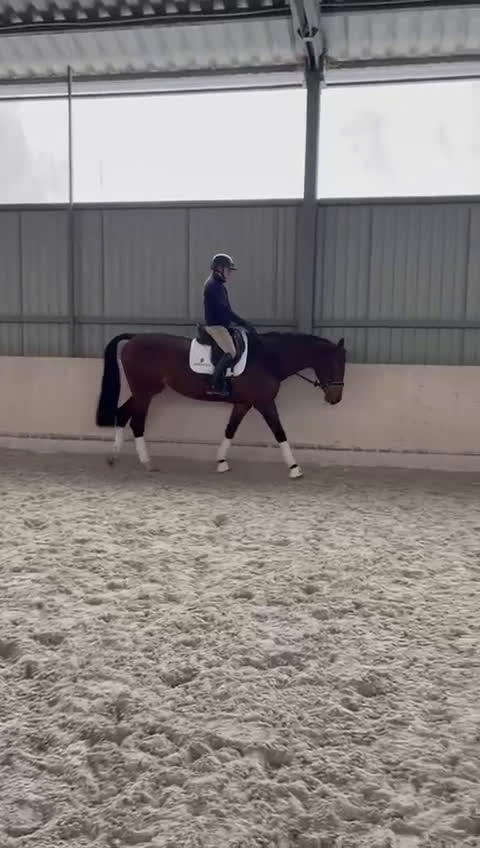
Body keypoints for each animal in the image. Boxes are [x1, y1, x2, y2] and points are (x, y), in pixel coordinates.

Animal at [95, 329, 346, 478]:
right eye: (335, 364)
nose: (335, 399)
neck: (267, 358)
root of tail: (133, 338)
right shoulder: (264, 403)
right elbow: (279, 432)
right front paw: (295, 468)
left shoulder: (244, 403)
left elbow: (230, 430)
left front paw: (221, 462)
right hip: (145, 392)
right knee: (135, 422)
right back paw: (146, 463)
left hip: (144, 392)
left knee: (123, 414)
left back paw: (115, 458)